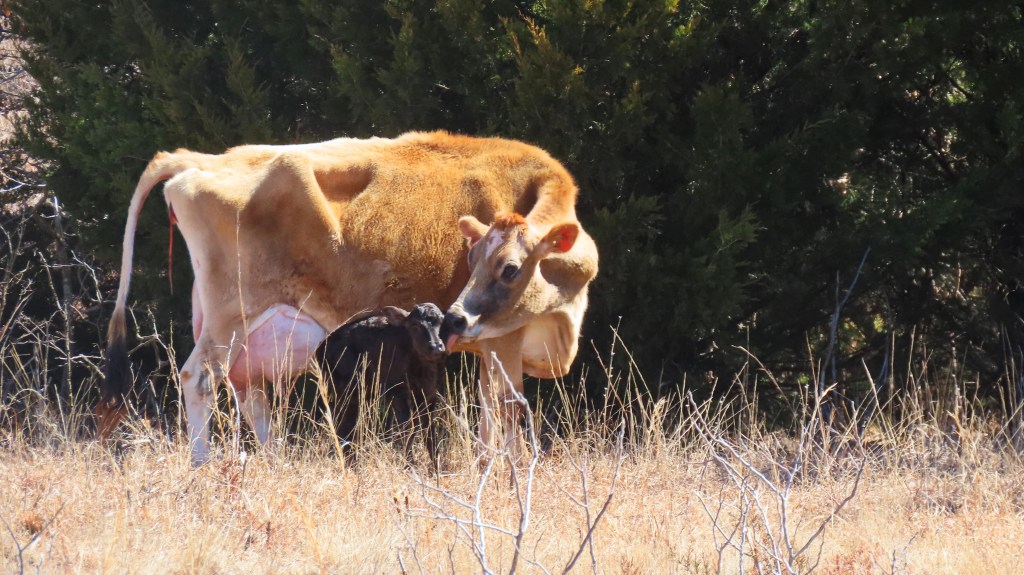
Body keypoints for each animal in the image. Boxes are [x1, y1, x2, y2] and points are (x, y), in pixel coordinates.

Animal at [314, 304, 447, 466]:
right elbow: (407, 427)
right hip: (346, 390)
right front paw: (409, 465)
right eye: (415, 325)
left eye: (441, 321)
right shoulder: (396, 391)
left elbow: (430, 430)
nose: (436, 347)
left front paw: (437, 467)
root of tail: (321, 347)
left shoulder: (429, 394)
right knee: (343, 425)